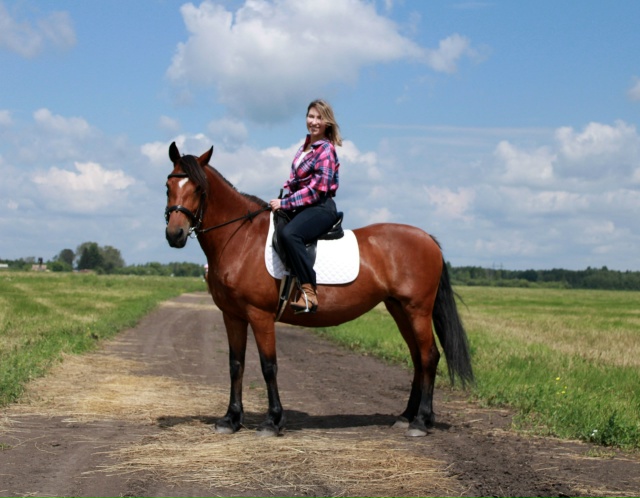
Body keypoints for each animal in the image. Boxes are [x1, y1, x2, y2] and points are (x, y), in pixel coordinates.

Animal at [164, 141, 473, 437]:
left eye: (199, 188)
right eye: (168, 186)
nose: (174, 235)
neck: (241, 238)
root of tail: (428, 239)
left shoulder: (260, 315)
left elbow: (268, 366)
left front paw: (272, 421)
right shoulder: (233, 315)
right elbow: (235, 364)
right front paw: (231, 419)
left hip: (417, 309)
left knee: (429, 356)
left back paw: (421, 421)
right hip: (398, 308)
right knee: (418, 358)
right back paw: (407, 416)